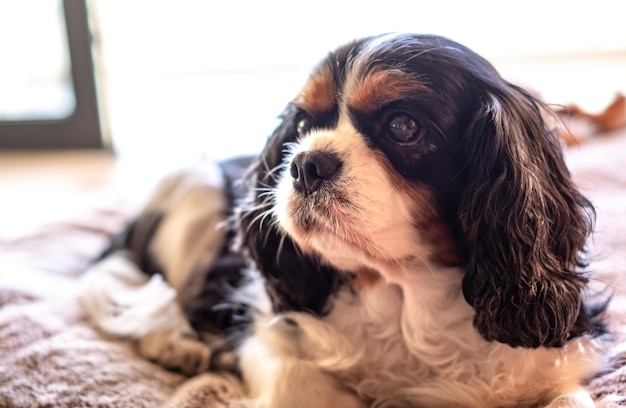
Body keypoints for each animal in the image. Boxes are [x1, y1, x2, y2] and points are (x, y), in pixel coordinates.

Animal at [79, 33, 608, 406]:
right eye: (302, 125)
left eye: (403, 126)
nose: (304, 164)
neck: (403, 298)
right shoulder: (262, 326)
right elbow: (298, 382)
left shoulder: (550, 360)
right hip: (194, 183)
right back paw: (174, 341)